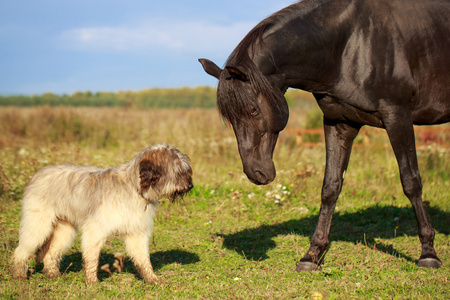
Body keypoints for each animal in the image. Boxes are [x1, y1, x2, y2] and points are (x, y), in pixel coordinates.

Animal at [201, 0, 450, 272]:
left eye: (253, 110)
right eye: (229, 118)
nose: (256, 173)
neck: (352, 44)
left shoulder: (398, 117)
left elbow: (411, 182)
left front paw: (428, 253)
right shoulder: (339, 122)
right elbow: (330, 187)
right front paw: (312, 255)